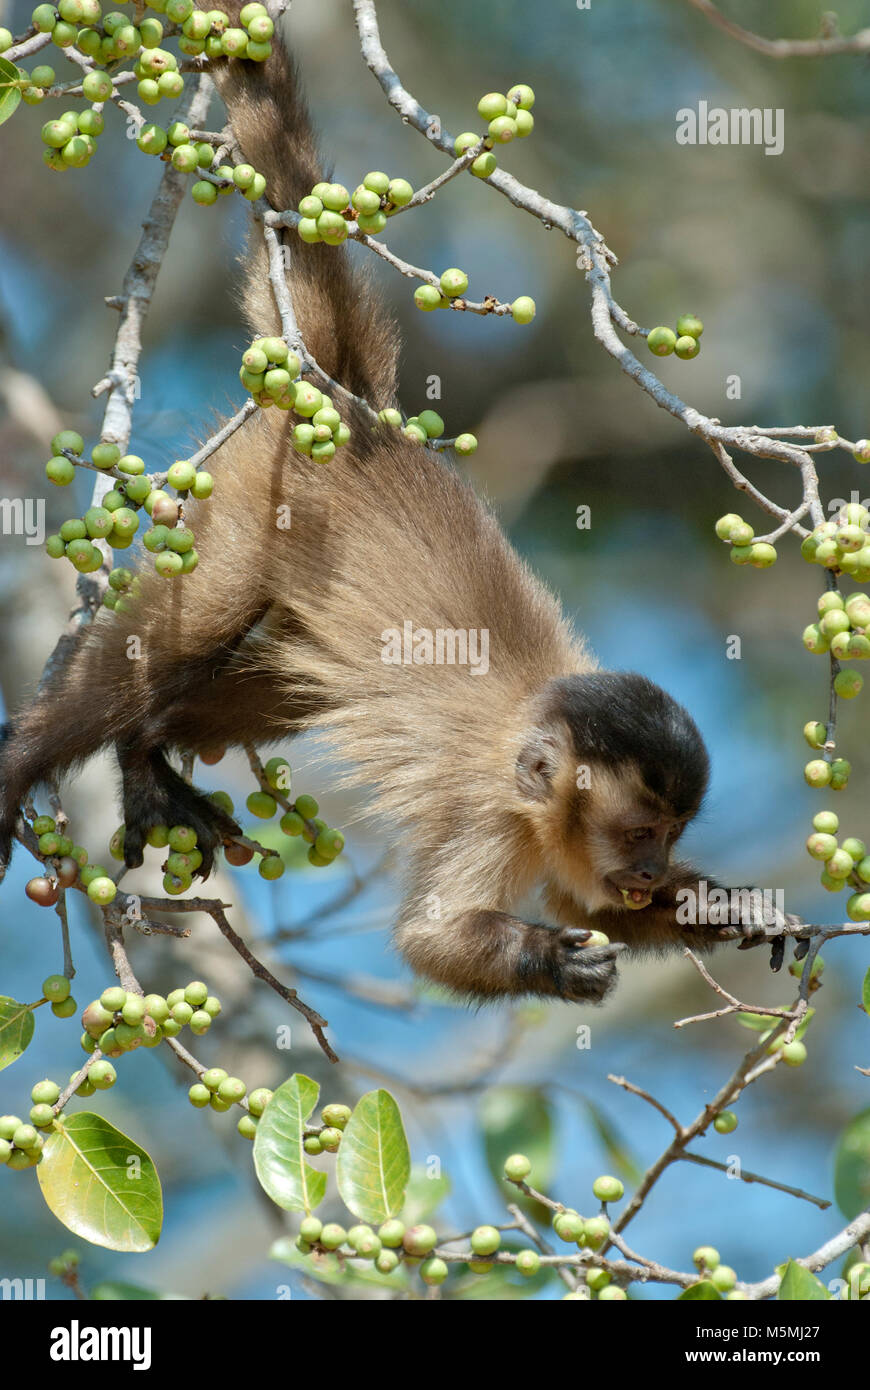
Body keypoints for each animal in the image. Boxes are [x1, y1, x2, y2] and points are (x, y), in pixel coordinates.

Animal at [0, 16, 778, 1006]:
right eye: (641, 831)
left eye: (670, 840)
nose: (650, 869)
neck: (532, 747)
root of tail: (352, 409)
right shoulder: (493, 811)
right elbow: (433, 938)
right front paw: (553, 959)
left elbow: (587, 901)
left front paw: (728, 905)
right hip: (253, 508)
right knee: (187, 637)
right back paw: (30, 756)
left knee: (276, 686)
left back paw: (145, 750)